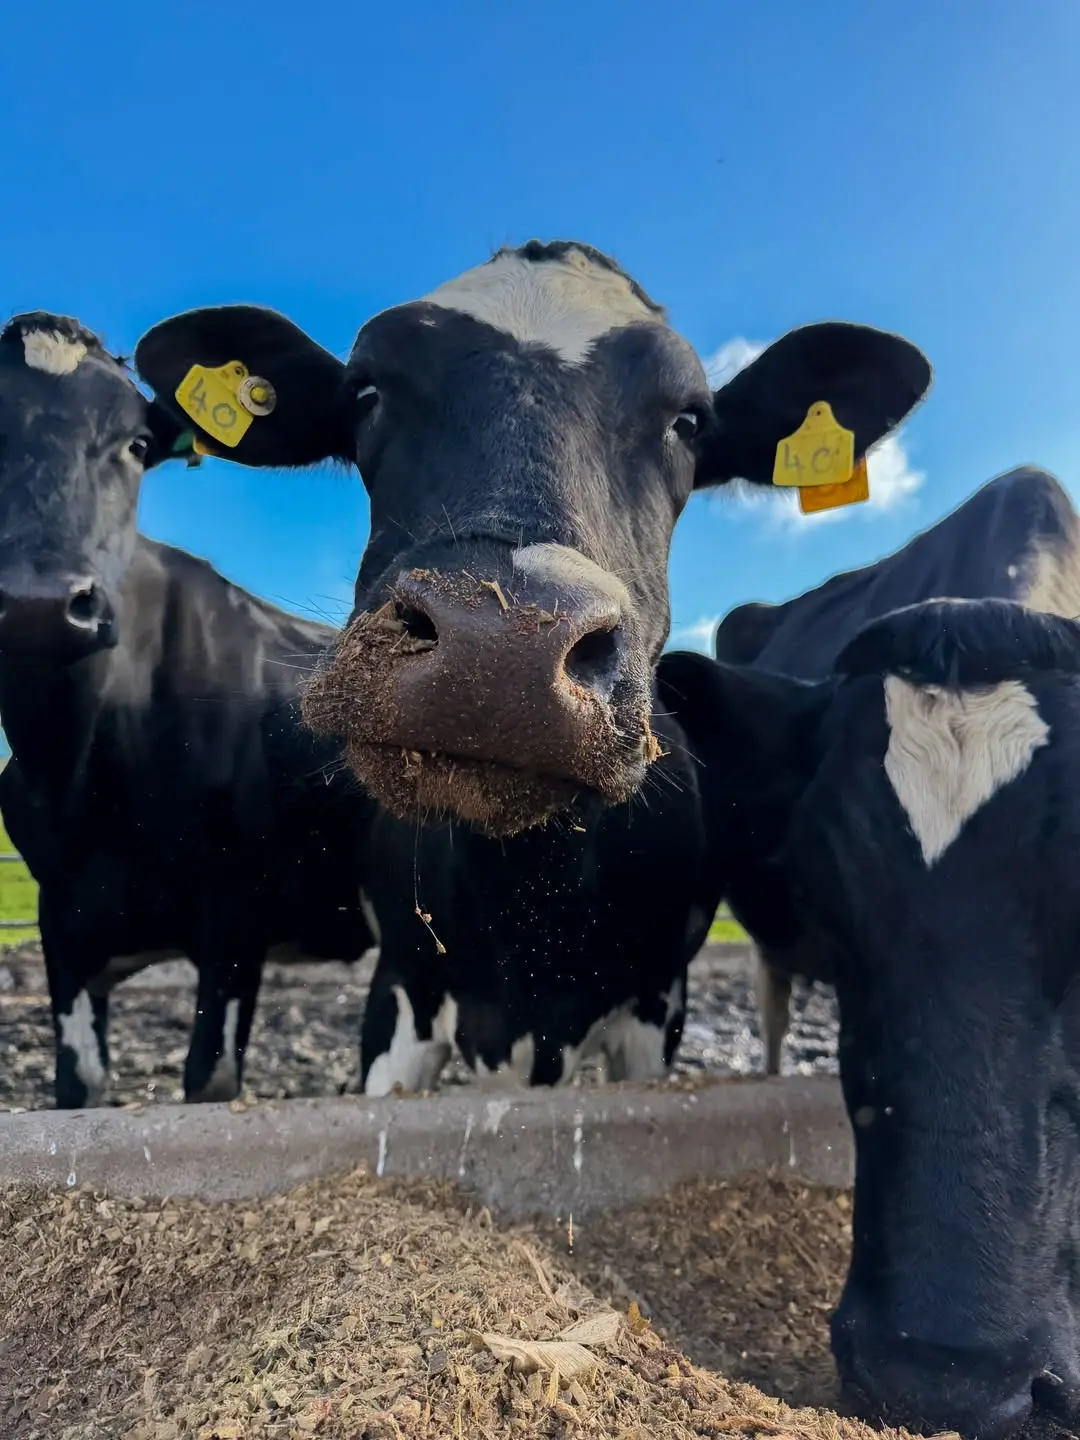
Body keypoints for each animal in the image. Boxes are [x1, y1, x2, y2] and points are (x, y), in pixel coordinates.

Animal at [0, 311, 376, 1108]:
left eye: (137, 446)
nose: (38, 604)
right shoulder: (63, 925)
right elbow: (78, 1085)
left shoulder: (234, 922)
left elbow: (211, 1078)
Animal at [131, 239, 930, 1091]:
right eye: (367, 391)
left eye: (688, 421)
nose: (497, 649)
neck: (529, 897)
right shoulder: (401, 992)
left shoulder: (655, 1012)